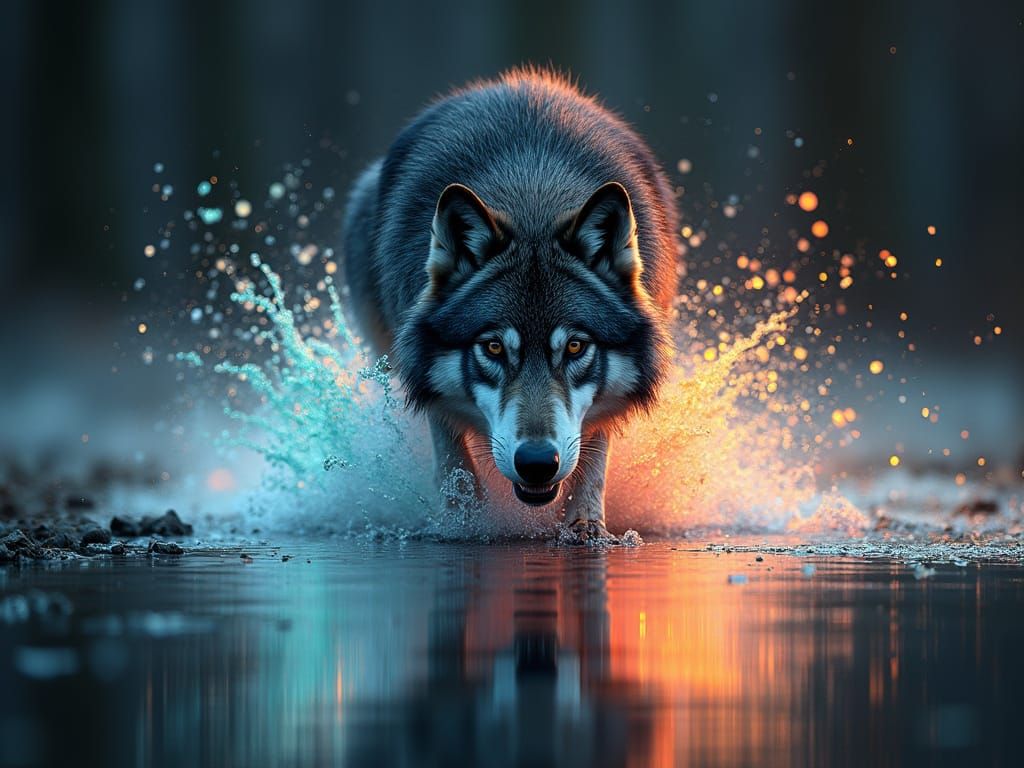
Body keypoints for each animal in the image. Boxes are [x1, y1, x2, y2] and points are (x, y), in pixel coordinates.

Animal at [342, 68, 679, 542]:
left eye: (575, 347)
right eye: (494, 347)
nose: (537, 464)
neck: (532, 197)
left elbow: (594, 453)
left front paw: (586, 526)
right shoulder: (422, 378)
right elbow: (451, 456)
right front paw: (465, 521)